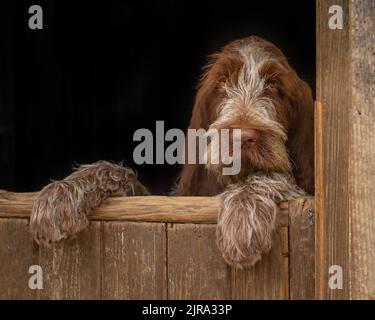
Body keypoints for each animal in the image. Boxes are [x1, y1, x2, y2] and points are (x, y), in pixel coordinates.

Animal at [30, 36, 314, 268]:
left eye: (274, 85)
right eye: (222, 84)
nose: (243, 135)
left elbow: (272, 177)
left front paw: (243, 214)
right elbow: (118, 174)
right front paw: (62, 193)